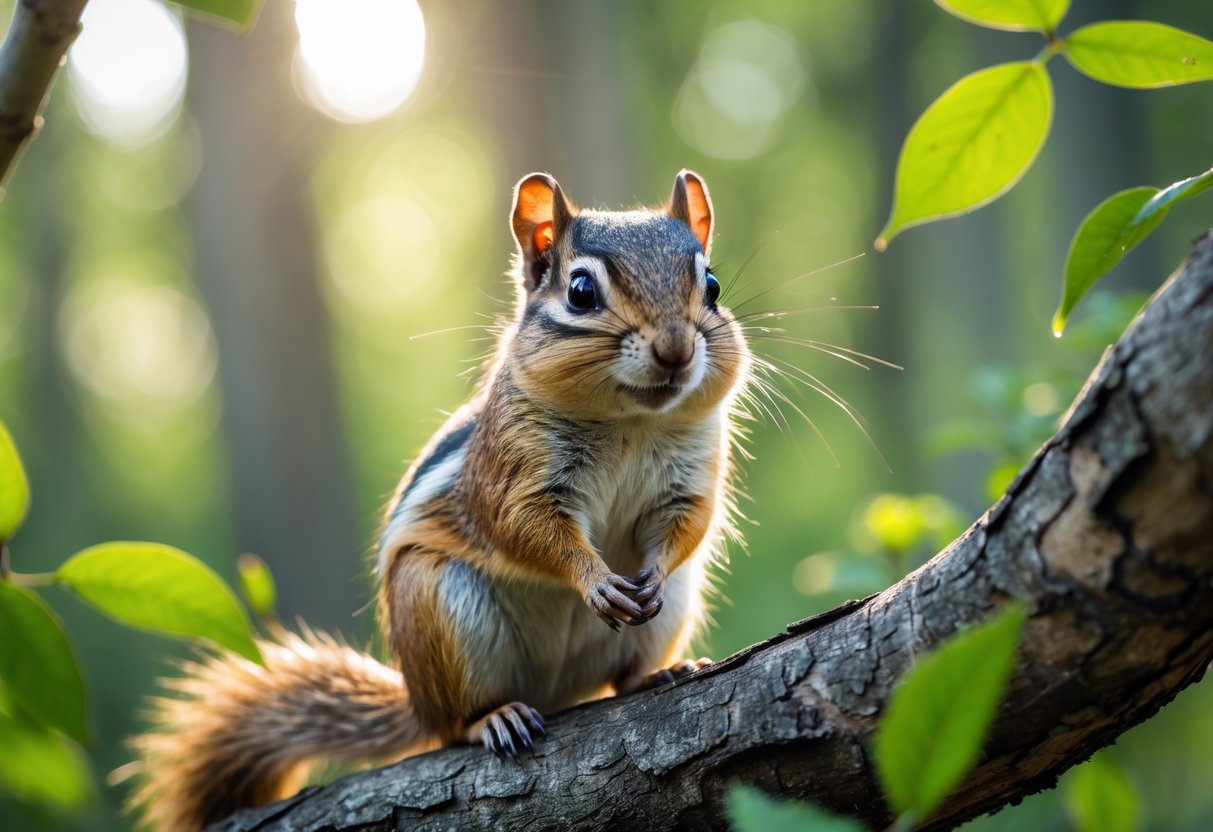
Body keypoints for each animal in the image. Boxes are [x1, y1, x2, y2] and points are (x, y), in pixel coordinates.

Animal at [130, 170, 751, 831]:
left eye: (712, 286)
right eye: (581, 291)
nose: (675, 350)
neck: (630, 419)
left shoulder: (690, 474)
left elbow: (688, 524)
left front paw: (648, 573)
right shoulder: (512, 474)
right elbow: (525, 528)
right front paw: (595, 580)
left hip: (669, 610)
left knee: (621, 675)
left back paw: (658, 673)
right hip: (437, 605)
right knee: (452, 726)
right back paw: (493, 718)